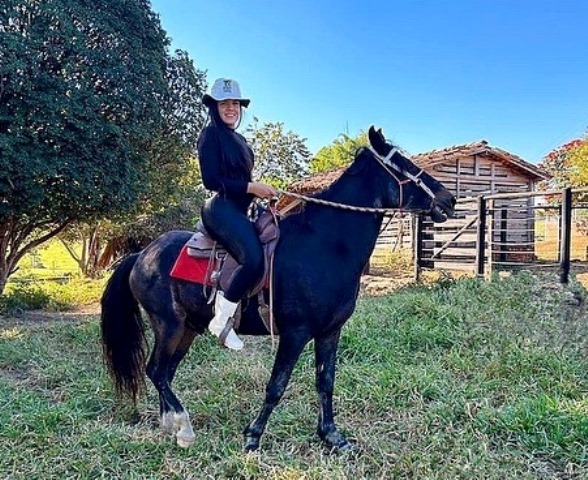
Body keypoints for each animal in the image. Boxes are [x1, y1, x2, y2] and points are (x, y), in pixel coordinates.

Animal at [101, 126, 454, 450]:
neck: (324, 246)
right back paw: (184, 427)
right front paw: (253, 437)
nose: (448, 200)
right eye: (404, 164)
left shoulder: (330, 331)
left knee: (166, 372)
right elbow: (276, 386)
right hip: (168, 324)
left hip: (187, 328)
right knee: (157, 371)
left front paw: (332, 437)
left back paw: (171, 426)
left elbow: (325, 382)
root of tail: (141, 255)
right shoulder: (295, 332)